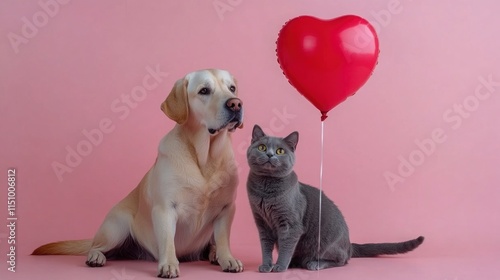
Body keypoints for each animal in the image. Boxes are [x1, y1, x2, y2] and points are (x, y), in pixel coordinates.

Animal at [32, 69, 244, 276]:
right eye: (204, 91)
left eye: (232, 88)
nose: (236, 104)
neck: (205, 157)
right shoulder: (165, 208)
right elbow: (167, 241)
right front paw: (168, 264)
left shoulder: (226, 209)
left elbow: (223, 239)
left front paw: (228, 258)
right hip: (117, 227)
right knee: (96, 247)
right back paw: (96, 257)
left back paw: (214, 254)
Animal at [245, 124, 422, 272]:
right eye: (262, 147)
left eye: (280, 151)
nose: (269, 154)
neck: (265, 191)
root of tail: (349, 244)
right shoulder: (262, 223)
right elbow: (265, 247)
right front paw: (266, 266)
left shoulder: (290, 226)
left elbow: (285, 248)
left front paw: (280, 267)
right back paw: (296, 262)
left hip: (325, 242)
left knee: (342, 260)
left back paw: (313, 263)